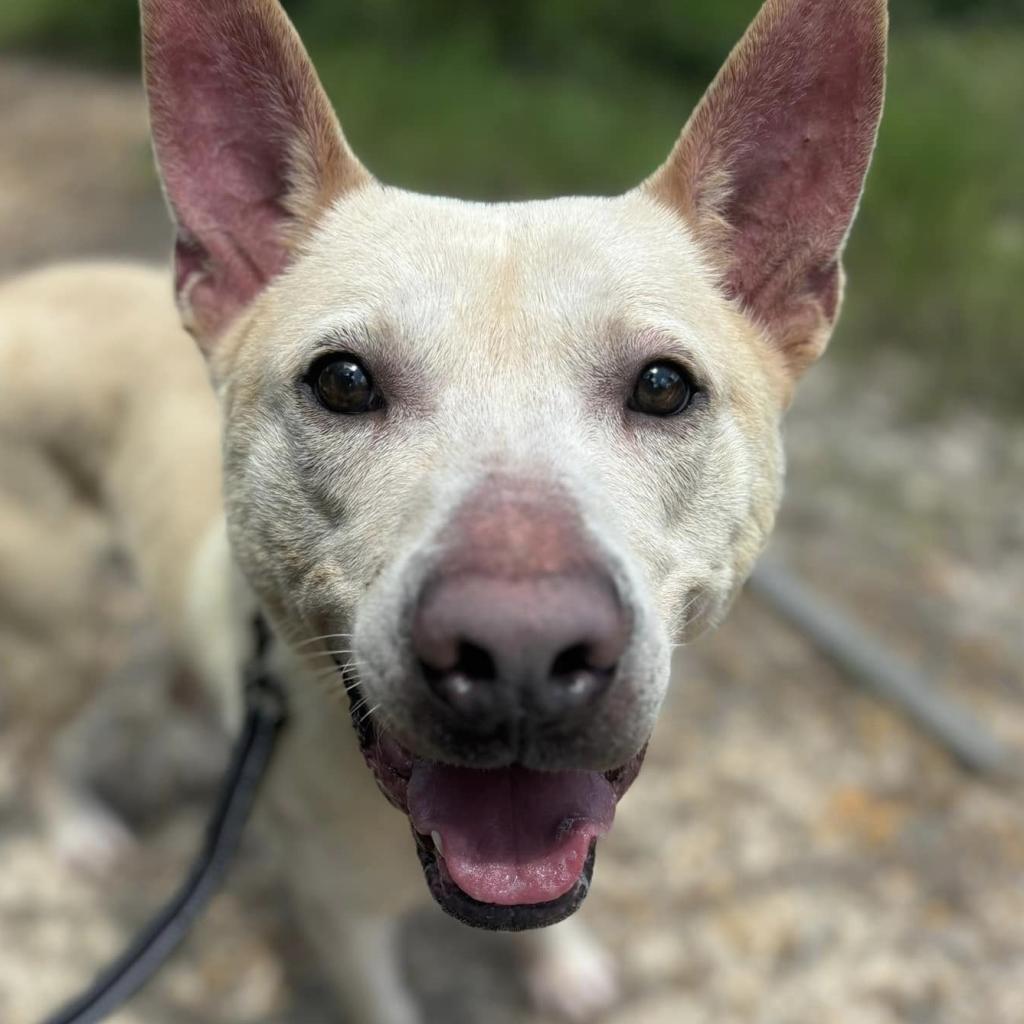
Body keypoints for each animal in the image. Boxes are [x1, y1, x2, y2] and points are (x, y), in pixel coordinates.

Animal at [0, 0, 884, 1019]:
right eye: (342, 381)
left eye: (664, 386)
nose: (520, 652)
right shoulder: (341, 924)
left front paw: (566, 965)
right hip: (69, 629)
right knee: (33, 741)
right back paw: (76, 829)